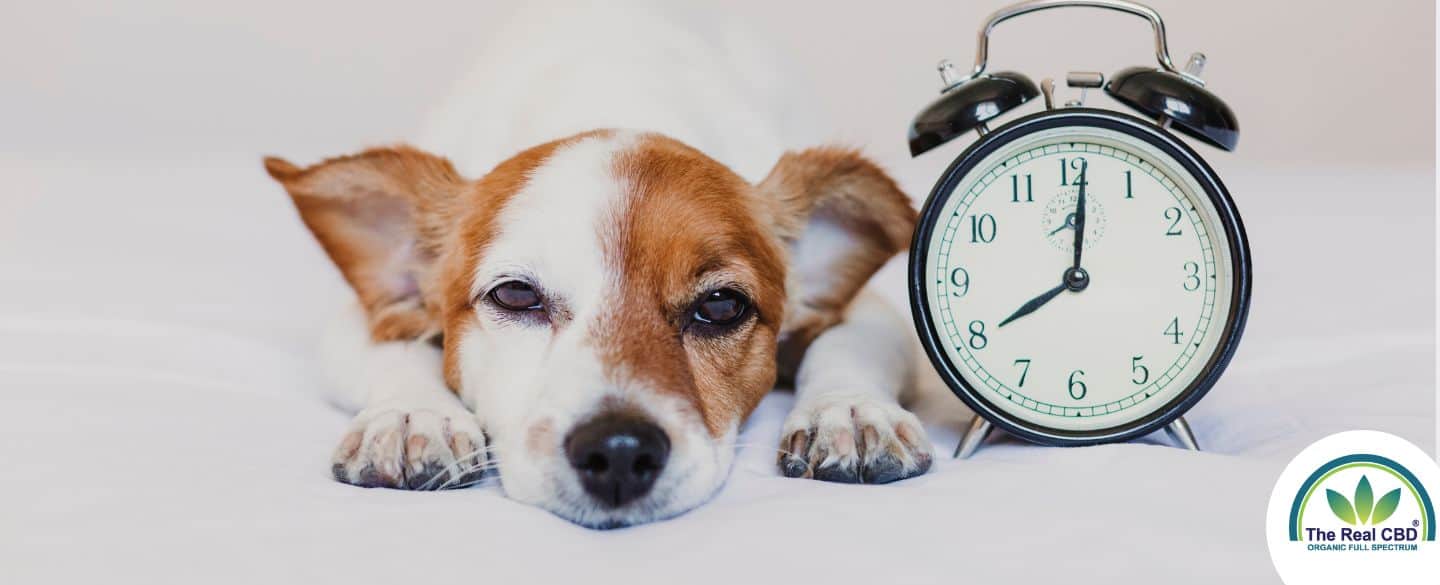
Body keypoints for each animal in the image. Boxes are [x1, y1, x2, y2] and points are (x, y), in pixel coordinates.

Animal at [262, 1, 956, 530]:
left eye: (722, 305)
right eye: (515, 296)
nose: (619, 452)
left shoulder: (870, 309)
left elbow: (847, 344)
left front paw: (850, 411)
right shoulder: (371, 314)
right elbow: (398, 353)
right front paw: (414, 417)